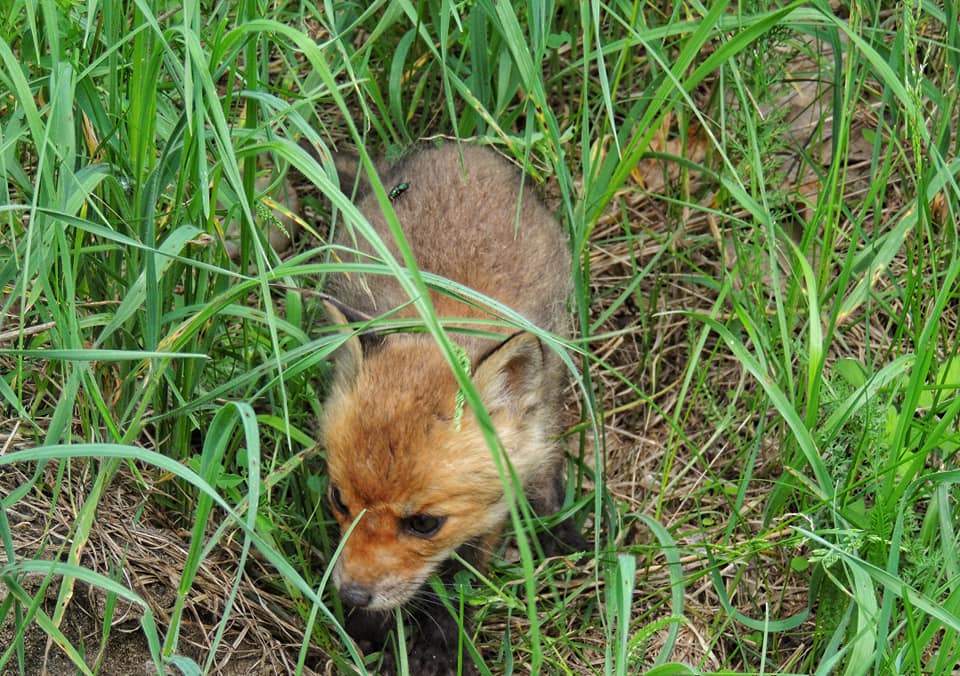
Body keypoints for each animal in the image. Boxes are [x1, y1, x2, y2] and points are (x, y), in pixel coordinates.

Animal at [318, 145, 580, 672]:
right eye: (338, 499)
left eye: (424, 523)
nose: (352, 595)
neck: (445, 313)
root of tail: (463, 149)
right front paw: (371, 627)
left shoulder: (495, 502)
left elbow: (461, 577)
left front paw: (442, 644)